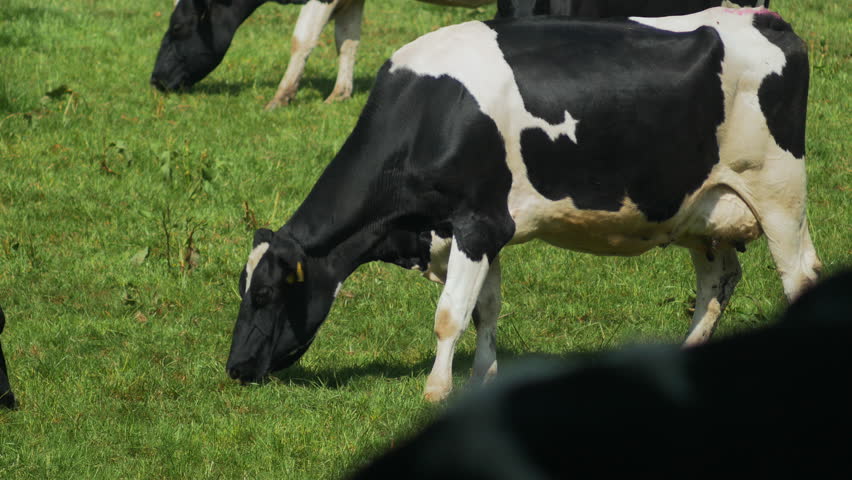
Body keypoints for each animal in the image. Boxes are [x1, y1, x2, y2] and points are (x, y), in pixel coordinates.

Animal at [225, 7, 821, 403]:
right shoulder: (485, 230)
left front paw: (436, 392)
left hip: (778, 191)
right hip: (702, 209)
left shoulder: (476, 225)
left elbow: (450, 315)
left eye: (266, 293)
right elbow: (485, 310)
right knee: (718, 280)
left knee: (799, 274)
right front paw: (481, 380)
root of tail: (764, 17)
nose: (235, 367)